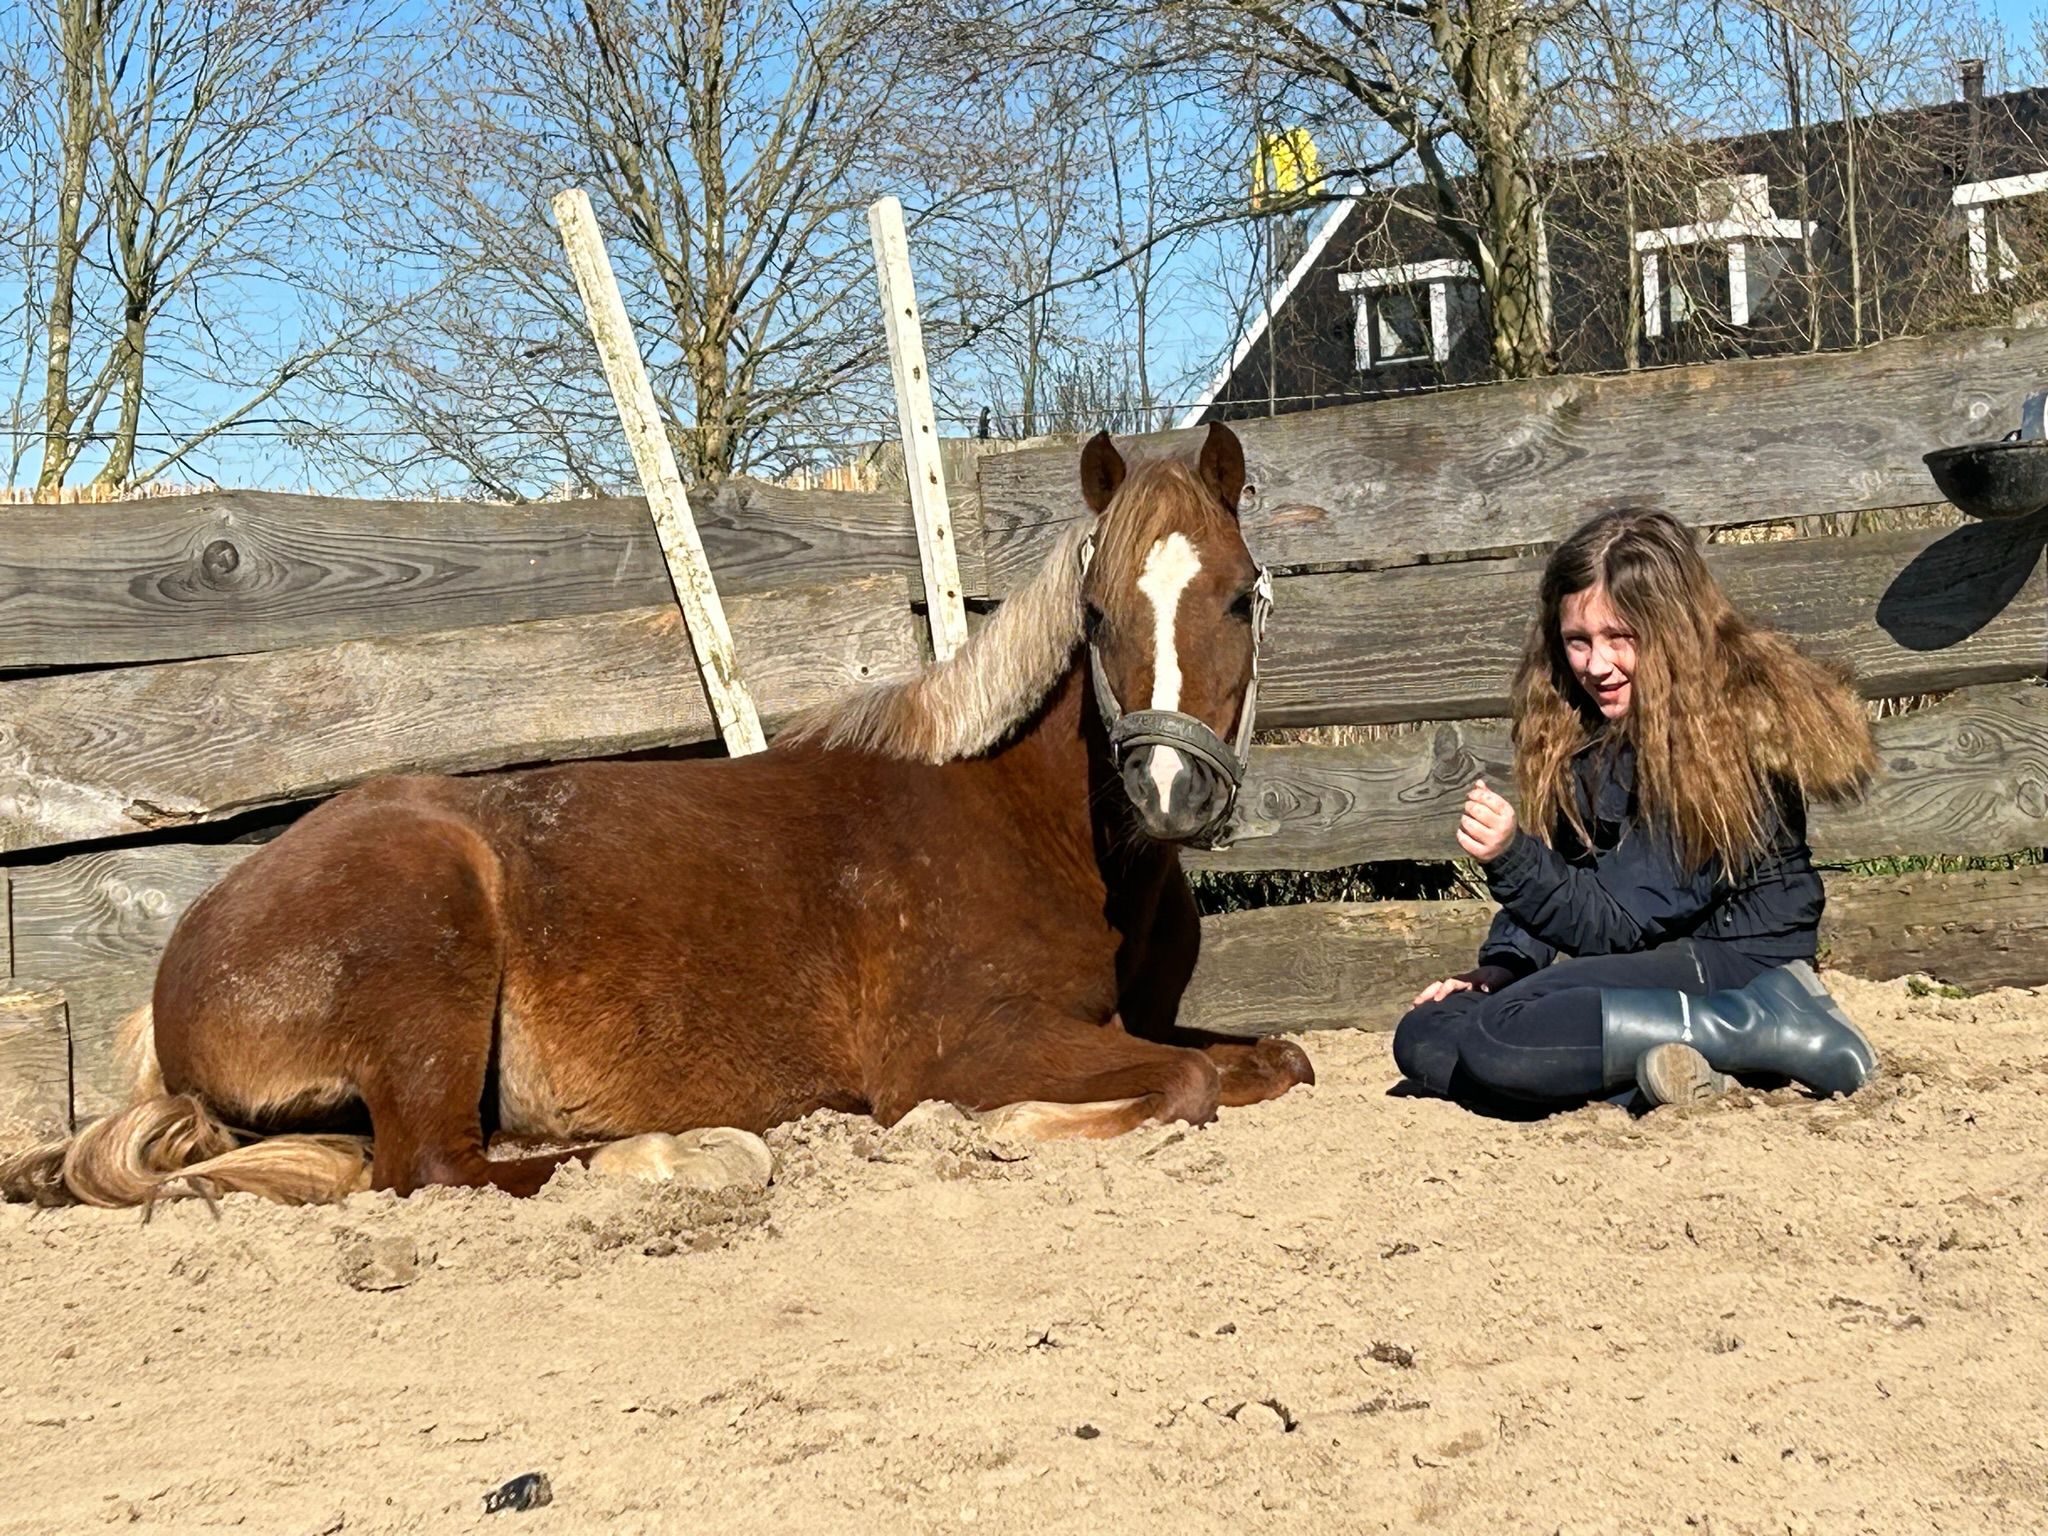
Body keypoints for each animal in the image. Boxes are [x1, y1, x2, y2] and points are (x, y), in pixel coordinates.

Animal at [1, 422, 1314, 1209]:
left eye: (1240, 596)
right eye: (1093, 615)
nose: (1170, 793)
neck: (1030, 829)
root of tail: (183, 963)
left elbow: (1273, 1060)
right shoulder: (965, 1049)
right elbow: (1182, 1090)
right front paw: (1008, 1129)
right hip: (428, 945)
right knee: (434, 1164)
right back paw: (686, 1151)